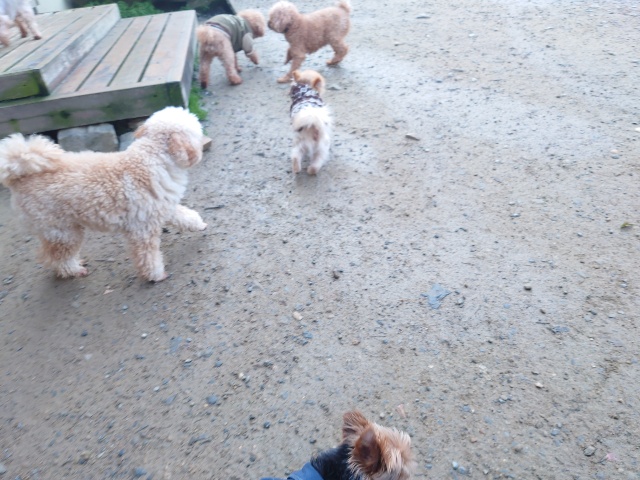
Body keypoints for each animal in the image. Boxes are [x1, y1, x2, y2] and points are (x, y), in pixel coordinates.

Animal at [0, 107, 207, 282]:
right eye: (198, 132)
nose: (205, 142)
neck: (151, 159)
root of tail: (19, 177)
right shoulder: (142, 230)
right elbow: (148, 257)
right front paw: (155, 275)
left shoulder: (163, 208)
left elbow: (185, 216)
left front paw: (200, 225)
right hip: (62, 231)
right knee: (56, 257)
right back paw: (72, 270)